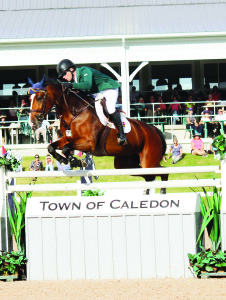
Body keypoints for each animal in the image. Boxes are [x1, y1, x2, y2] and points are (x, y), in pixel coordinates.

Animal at [28, 80, 168, 192]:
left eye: (39, 97)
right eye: (30, 99)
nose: (32, 122)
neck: (75, 113)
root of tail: (153, 129)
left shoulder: (89, 143)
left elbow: (67, 148)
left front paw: (75, 161)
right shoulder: (67, 138)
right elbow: (52, 147)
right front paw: (64, 160)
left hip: (148, 160)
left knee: (162, 172)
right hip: (125, 163)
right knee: (150, 176)